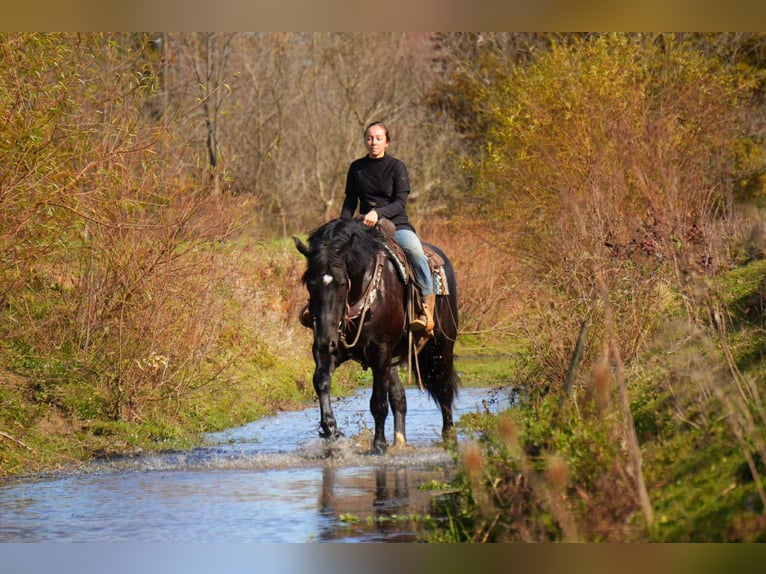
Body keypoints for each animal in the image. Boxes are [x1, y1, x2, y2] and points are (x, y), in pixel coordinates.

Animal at [294, 217, 459, 454]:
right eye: (310, 284)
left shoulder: (380, 351)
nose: (326, 340)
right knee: (399, 397)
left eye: (342, 283)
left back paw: (449, 437)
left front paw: (378, 445)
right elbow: (321, 381)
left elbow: (378, 402)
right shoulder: (330, 349)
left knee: (444, 388)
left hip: (442, 347)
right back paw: (400, 441)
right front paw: (331, 432)